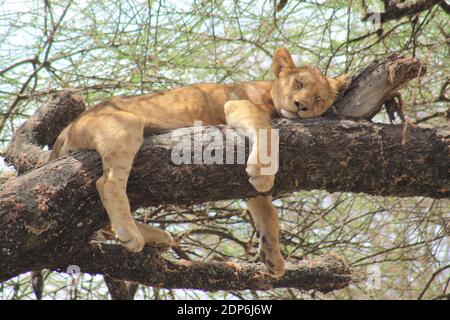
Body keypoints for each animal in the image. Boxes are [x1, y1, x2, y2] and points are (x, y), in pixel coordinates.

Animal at [49, 48, 348, 278]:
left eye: (319, 98)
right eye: (298, 84)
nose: (301, 106)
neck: (267, 92)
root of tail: (66, 129)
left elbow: (266, 211)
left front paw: (273, 257)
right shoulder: (238, 105)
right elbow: (266, 131)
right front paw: (264, 173)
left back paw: (156, 237)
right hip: (126, 122)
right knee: (107, 183)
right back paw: (132, 234)